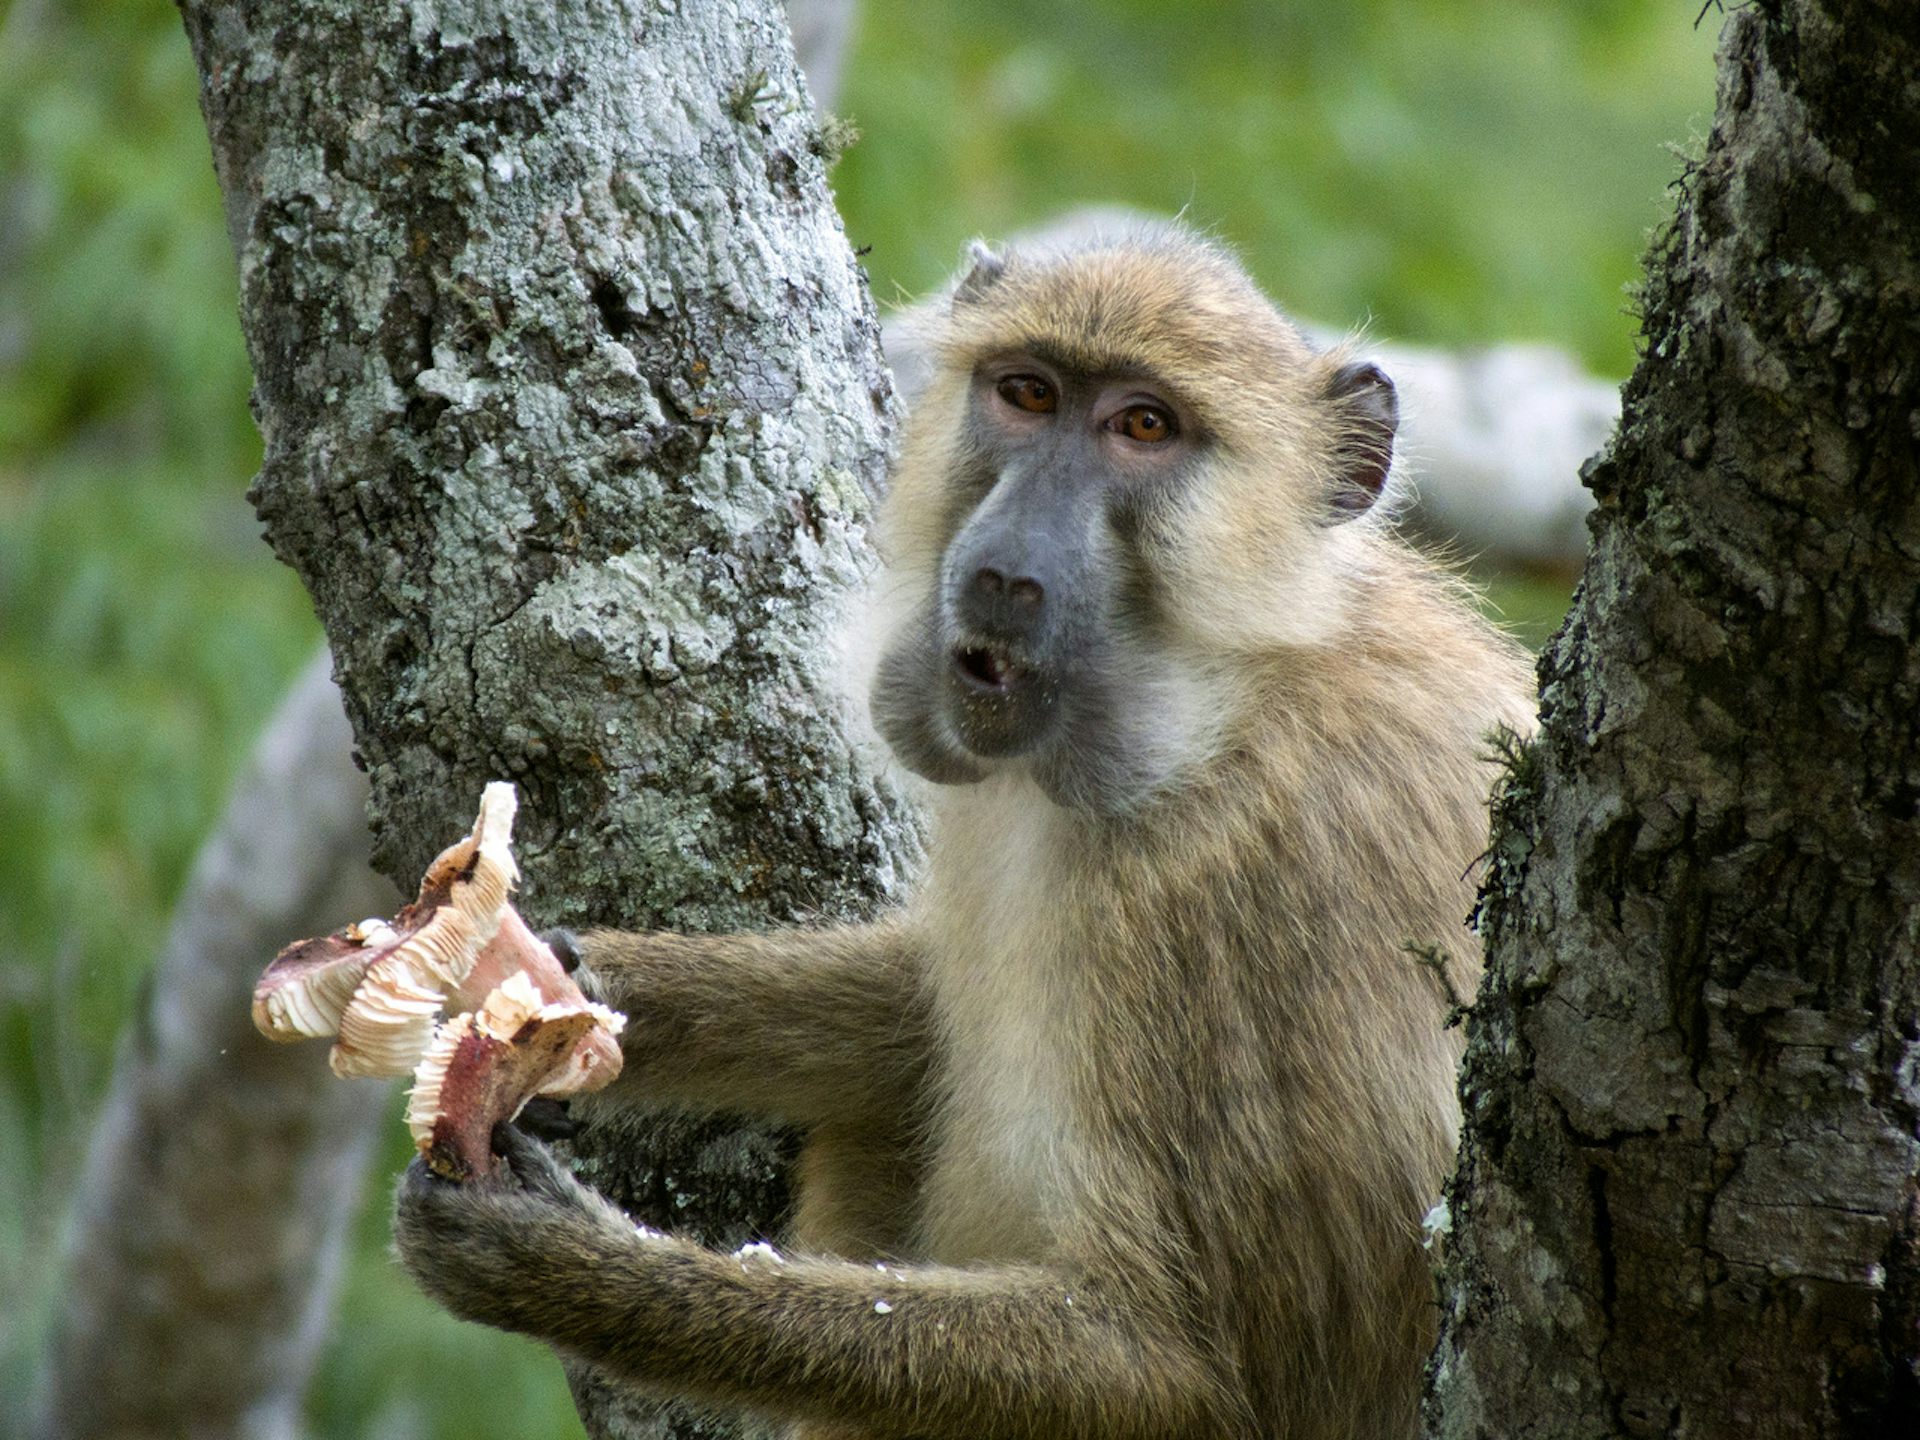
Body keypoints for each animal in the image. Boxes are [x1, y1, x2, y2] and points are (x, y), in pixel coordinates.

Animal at [393, 223, 1538, 1440]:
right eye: (1027, 393)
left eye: (1145, 426)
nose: (1002, 572)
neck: (1214, 707)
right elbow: (919, 1021)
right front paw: (561, 986)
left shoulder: (1250, 898)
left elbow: (1192, 1371)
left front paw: (558, 1265)